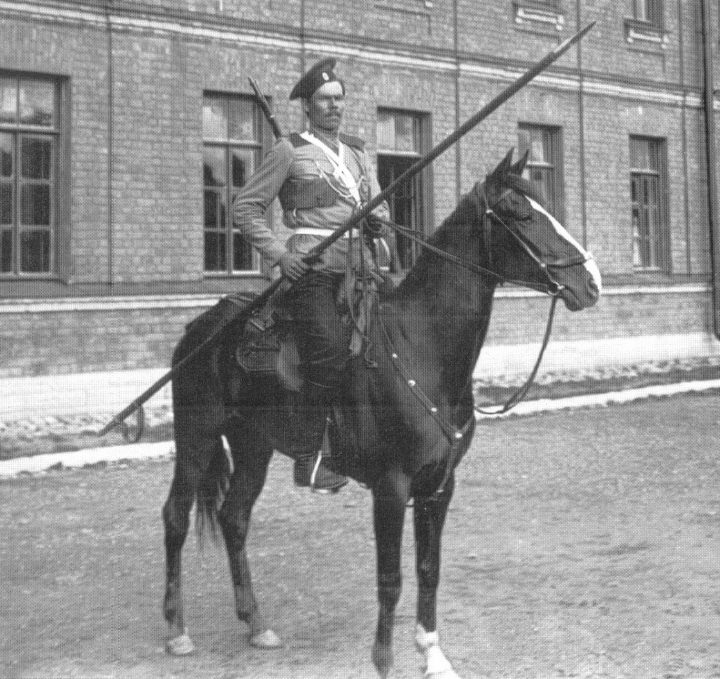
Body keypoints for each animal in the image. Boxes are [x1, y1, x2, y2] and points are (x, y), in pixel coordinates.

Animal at [162, 150, 600, 679]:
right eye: (519, 213)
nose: (591, 282)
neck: (422, 347)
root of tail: (199, 327)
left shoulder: (439, 484)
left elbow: (428, 570)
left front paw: (433, 655)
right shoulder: (391, 487)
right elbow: (390, 578)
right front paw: (384, 660)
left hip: (253, 445)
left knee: (234, 518)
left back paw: (256, 623)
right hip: (197, 436)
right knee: (175, 517)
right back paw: (178, 630)